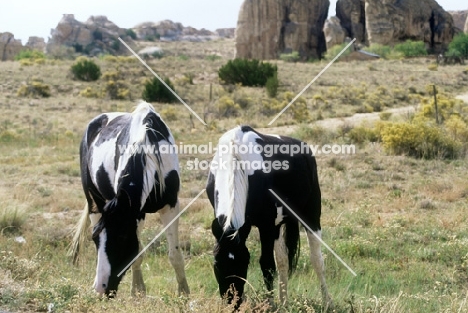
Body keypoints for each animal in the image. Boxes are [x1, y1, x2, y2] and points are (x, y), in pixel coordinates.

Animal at [69, 101, 188, 296]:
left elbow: (175, 254)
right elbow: (137, 255)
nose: (101, 288)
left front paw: (184, 292)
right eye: (94, 239)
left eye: (122, 238)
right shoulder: (136, 214)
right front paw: (138, 292)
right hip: (94, 201)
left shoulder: (170, 206)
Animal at [206, 125, 332, 308]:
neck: (237, 158)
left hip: (311, 216)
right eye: (217, 263)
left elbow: (267, 265)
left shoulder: (265, 226)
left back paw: (327, 301)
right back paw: (284, 302)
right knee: (283, 261)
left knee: (317, 260)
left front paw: (270, 304)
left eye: (244, 262)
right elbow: (276, 263)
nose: (233, 302)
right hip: (278, 226)